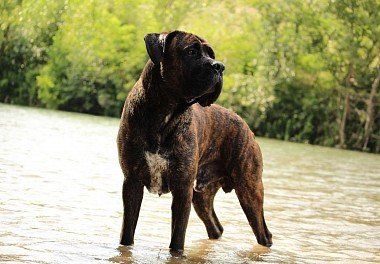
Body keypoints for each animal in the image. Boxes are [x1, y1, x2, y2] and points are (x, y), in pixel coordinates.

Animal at [117, 29, 272, 253]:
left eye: (211, 54)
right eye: (191, 52)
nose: (219, 66)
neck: (164, 113)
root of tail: (245, 124)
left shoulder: (182, 191)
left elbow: (177, 239)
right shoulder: (132, 183)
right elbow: (127, 234)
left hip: (249, 191)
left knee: (263, 233)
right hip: (202, 196)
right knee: (216, 228)